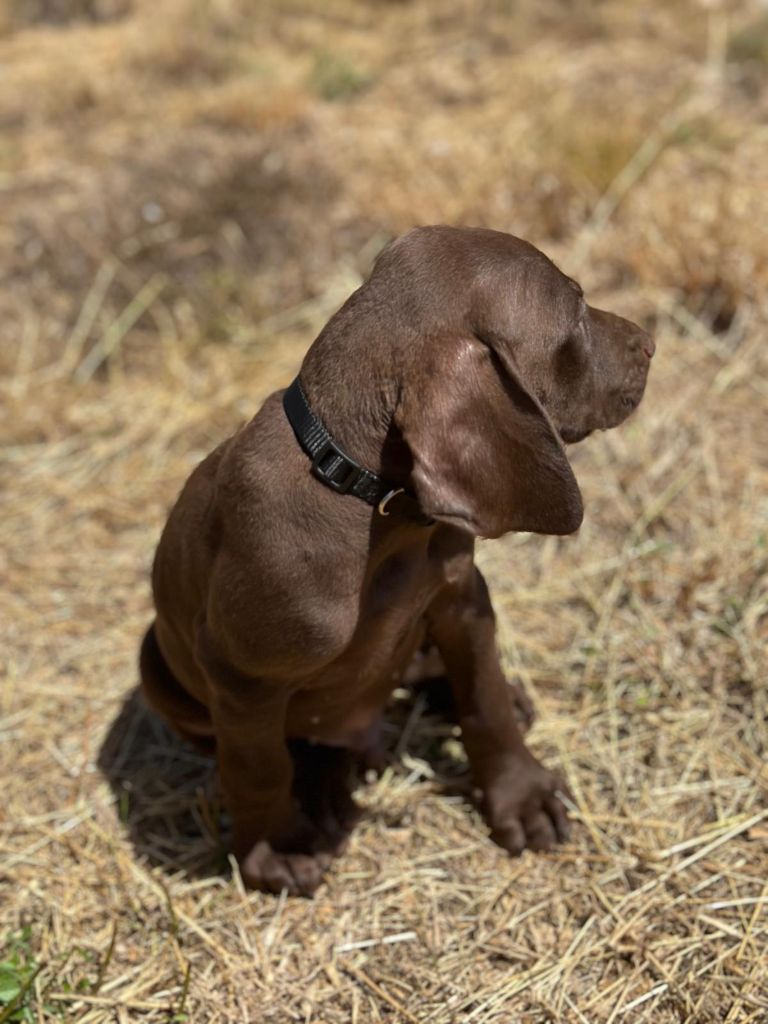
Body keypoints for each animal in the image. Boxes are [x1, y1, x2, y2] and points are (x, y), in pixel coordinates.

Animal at [140, 226, 655, 897]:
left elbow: (485, 699)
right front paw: (277, 848)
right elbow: (258, 766)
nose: (650, 344)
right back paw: (324, 790)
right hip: (156, 667)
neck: (367, 500)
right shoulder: (240, 678)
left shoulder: (463, 597)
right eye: (575, 311)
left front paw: (520, 793)